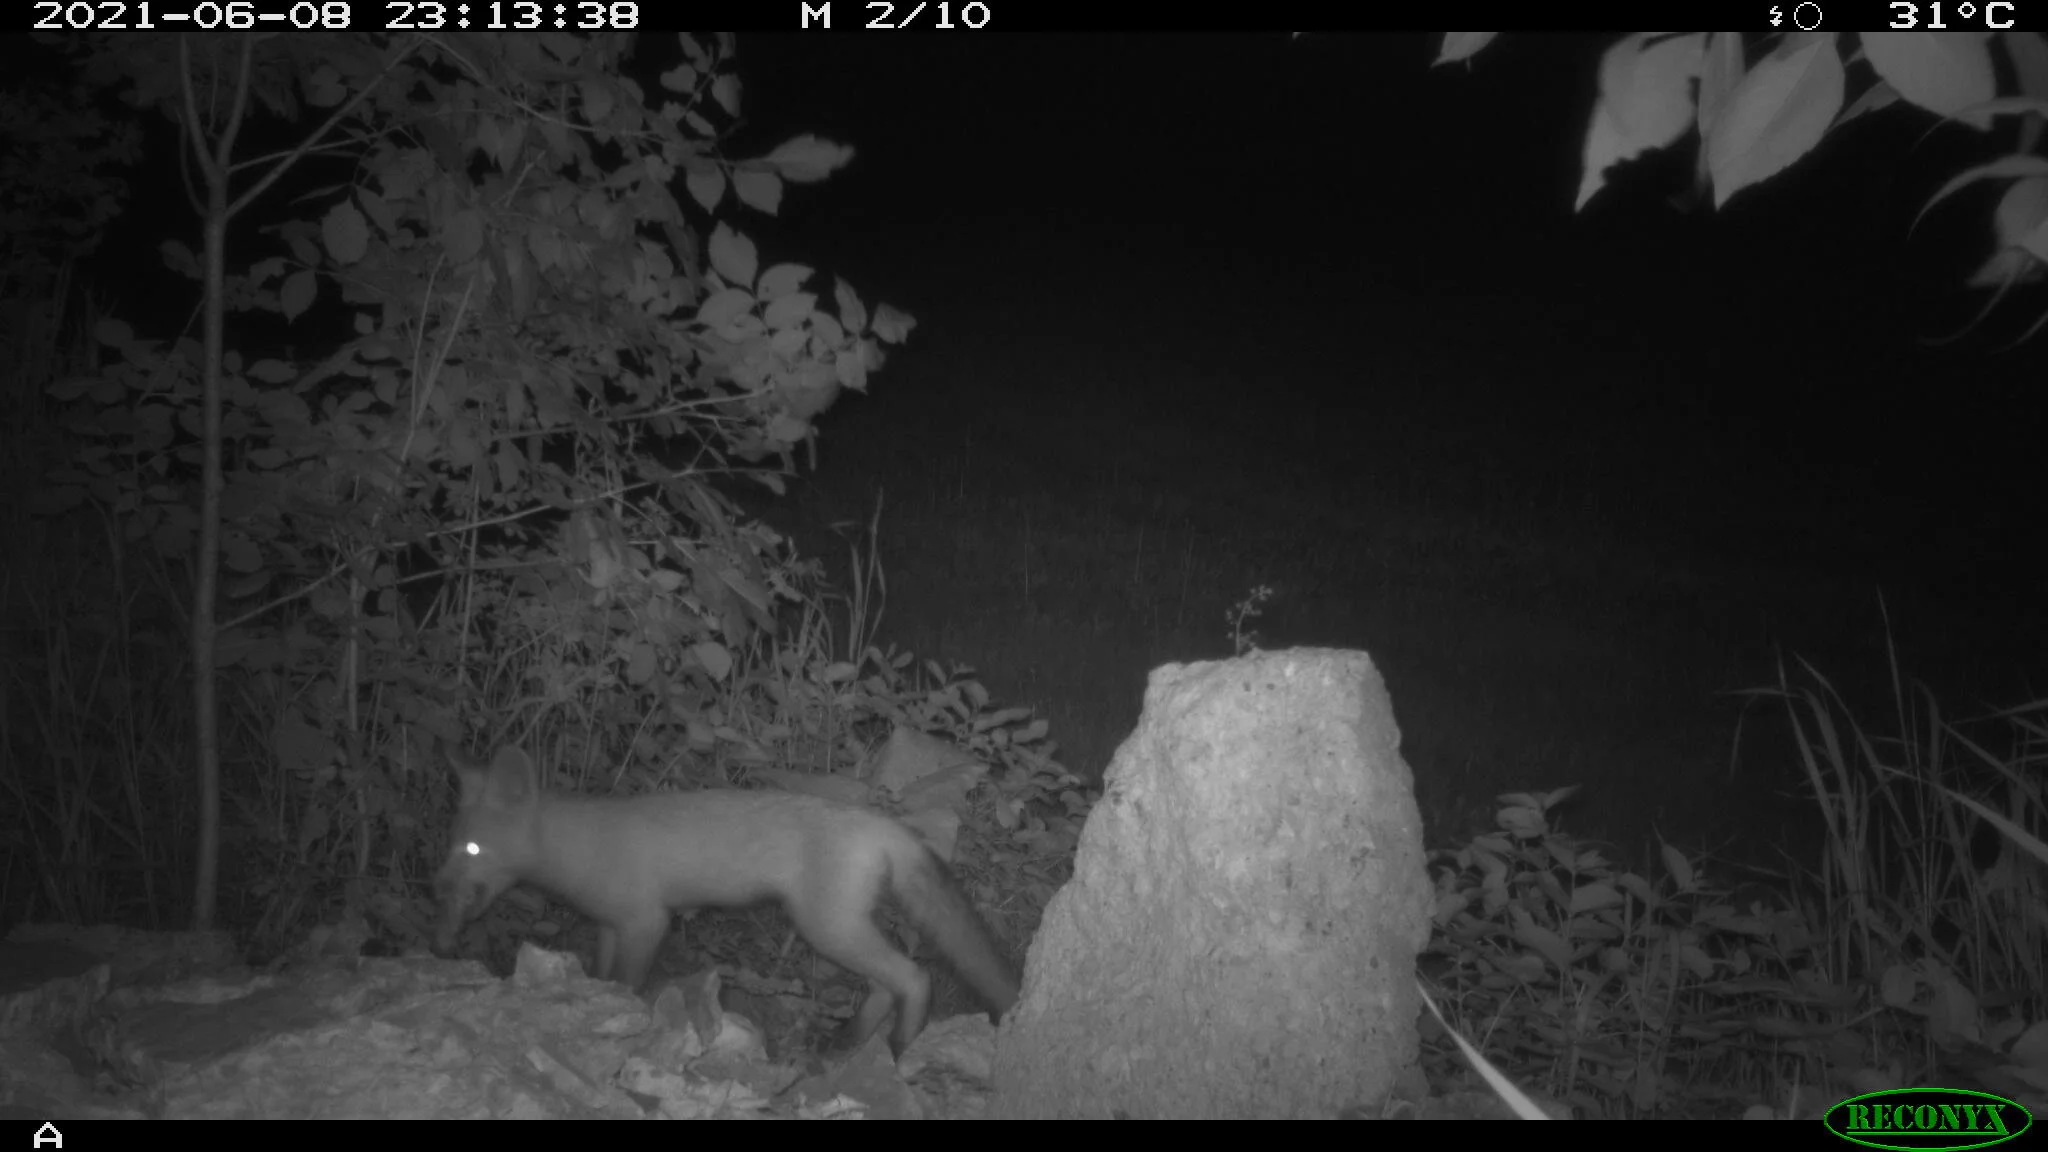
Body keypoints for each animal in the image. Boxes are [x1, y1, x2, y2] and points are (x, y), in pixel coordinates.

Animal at [432, 743, 1019, 1058]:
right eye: (454, 841)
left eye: (473, 848)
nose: (435, 885)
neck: (583, 847)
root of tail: (885, 825)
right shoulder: (608, 925)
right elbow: (601, 974)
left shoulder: (646, 921)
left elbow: (627, 982)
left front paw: (625, 1019)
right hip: (844, 928)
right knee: (885, 982)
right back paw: (848, 1039)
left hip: (827, 928)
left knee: (914, 977)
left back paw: (898, 1049)